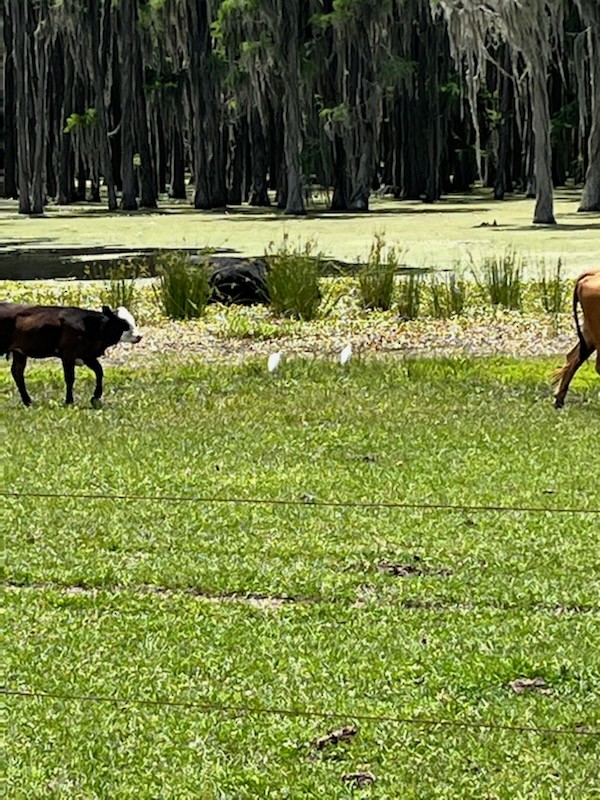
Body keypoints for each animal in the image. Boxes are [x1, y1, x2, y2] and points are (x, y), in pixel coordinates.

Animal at [1, 304, 142, 410]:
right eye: (123, 324)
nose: (139, 336)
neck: (90, 326)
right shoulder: (68, 355)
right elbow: (70, 378)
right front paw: (69, 401)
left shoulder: (87, 355)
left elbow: (99, 372)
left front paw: (95, 397)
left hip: (20, 353)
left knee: (17, 372)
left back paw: (28, 401)